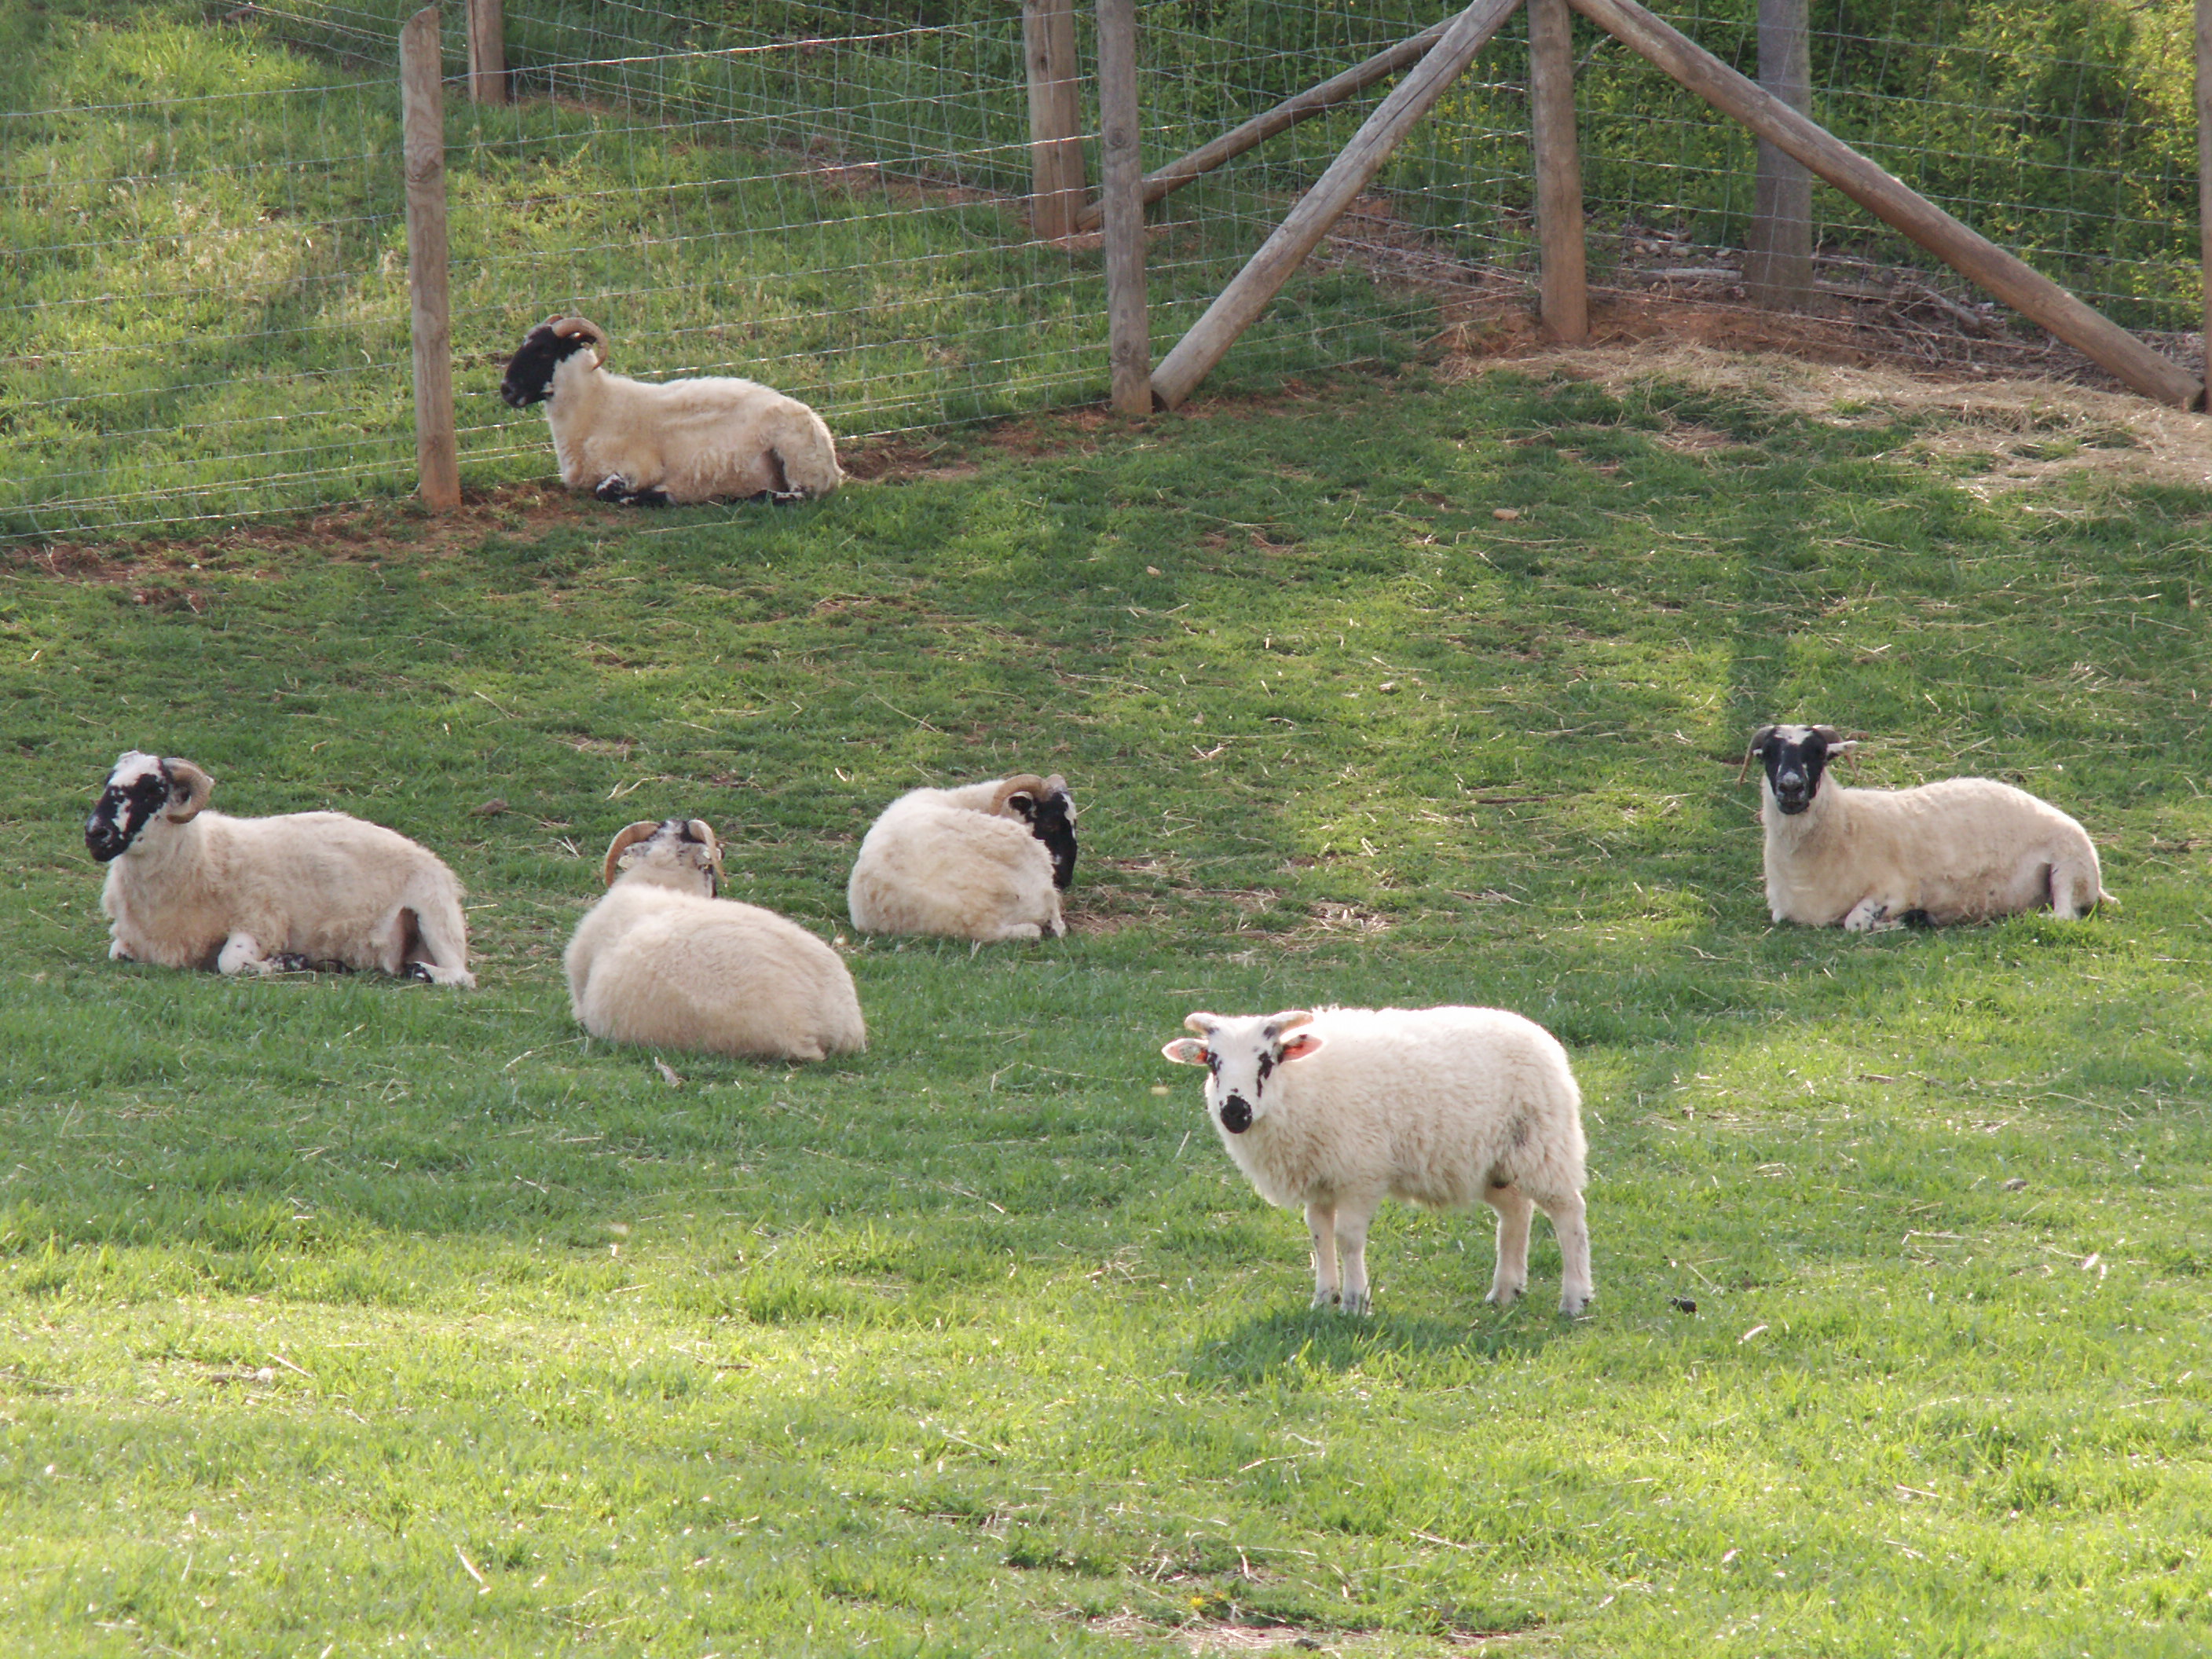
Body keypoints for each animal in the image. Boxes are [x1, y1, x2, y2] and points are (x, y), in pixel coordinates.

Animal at [83, 750, 474, 985]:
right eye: (107, 783)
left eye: (153, 789)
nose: (95, 833)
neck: (202, 855)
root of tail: (430, 857)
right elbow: (118, 954)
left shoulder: (259, 920)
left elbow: (230, 962)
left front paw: (289, 962)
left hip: (434, 914)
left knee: (461, 975)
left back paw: (420, 972)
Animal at [498, 315, 843, 506]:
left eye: (544, 350)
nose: (506, 390)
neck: (598, 407)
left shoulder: (639, 468)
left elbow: (605, 491)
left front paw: (656, 496)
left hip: (797, 458)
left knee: (799, 495)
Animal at [1161, 1006, 1593, 1317]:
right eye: (1213, 1062)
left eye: (1267, 1062)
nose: (1235, 1113)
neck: (1299, 1087)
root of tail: (1544, 1040)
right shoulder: (1319, 1179)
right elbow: (1319, 1236)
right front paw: (1323, 1300)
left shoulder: (1359, 1174)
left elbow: (1348, 1238)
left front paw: (1356, 1303)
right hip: (1493, 1163)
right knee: (1516, 1213)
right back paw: (1505, 1292)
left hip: (1544, 1145)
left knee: (1569, 1214)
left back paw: (1574, 1300)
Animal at [1747, 723, 2110, 932]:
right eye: (1768, 755)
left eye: (1819, 754)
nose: (1791, 788)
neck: (1845, 825)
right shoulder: (1783, 911)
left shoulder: (1897, 890)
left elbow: (1855, 922)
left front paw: (1907, 920)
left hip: (2068, 866)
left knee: (2065, 915)